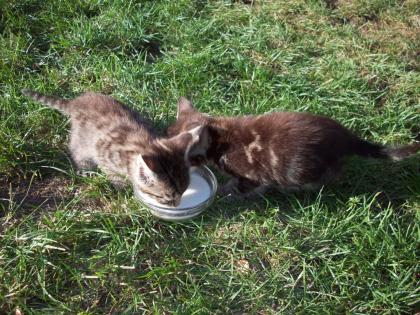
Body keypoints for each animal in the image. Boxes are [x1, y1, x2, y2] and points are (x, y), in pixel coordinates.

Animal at [22, 90, 207, 206]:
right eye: (166, 197)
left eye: (183, 192)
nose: (177, 205)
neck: (144, 144)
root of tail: (77, 102)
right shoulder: (103, 154)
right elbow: (114, 176)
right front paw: (122, 191)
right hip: (81, 141)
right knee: (77, 151)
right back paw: (85, 169)